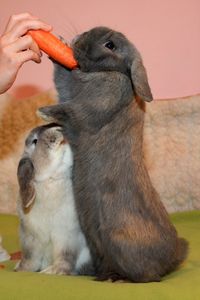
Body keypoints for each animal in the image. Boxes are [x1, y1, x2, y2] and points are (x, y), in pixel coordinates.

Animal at [15, 123, 92, 276]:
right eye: (35, 141)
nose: (59, 130)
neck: (51, 179)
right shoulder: (31, 238)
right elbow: (30, 258)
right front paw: (21, 270)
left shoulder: (68, 237)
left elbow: (65, 257)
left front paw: (54, 271)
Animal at [37, 27, 188, 282]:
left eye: (110, 45)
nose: (78, 41)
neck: (111, 71)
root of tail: (172, 256)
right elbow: (63, 80)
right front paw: (58, 43)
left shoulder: (94, 103)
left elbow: (72, 108)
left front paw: (44, 111)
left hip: (120, 243)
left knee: (150, 277)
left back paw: (119, 279)